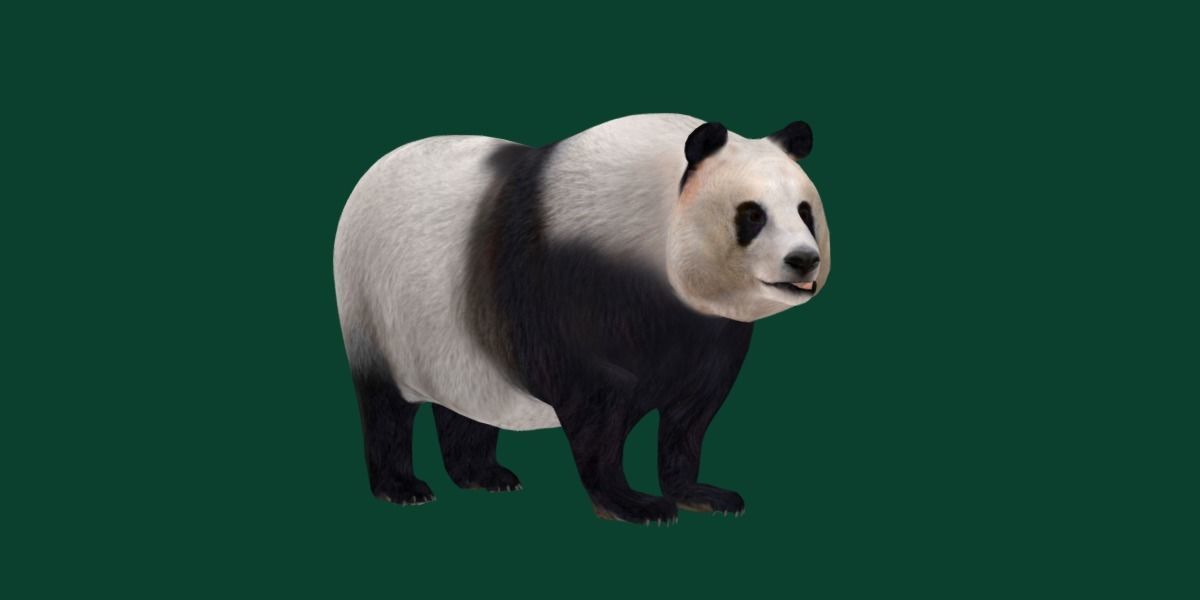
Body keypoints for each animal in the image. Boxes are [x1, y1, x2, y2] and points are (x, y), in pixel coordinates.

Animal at [333, 114, 830, 524]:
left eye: (805, 211)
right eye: (752, 214)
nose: (804, 261)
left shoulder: (710, 332)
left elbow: (692, 414)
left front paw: (701, 494)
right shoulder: (568, 278)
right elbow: (595, 406)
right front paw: (636, 504)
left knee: (465, 399)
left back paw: (484, 476)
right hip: (375, 304)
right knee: (385, 407)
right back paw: (405, 488)